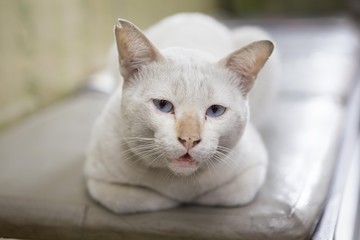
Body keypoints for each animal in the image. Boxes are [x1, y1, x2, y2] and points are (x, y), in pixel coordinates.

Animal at [85, 13, 282, 214]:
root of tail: (193, 16)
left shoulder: (252, 172)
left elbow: (223, 195)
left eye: (215, 110)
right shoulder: (99, 182)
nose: (189, 139)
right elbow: (141, 199)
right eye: (163, 105)